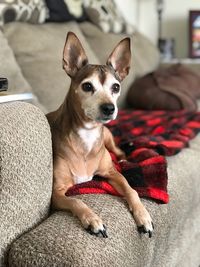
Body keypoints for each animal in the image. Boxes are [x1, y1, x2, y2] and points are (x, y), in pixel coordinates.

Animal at [47, 31, 153, 239]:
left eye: (116, 87)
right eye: (87, 86)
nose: (109, 108)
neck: (87, 135)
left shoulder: (111, 173)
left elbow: (131, 190)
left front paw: (143, 216)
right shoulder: (57, 193)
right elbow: (76, 201)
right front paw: (93, 220)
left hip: (109, 138)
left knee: (119, 152)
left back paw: (123, 159)